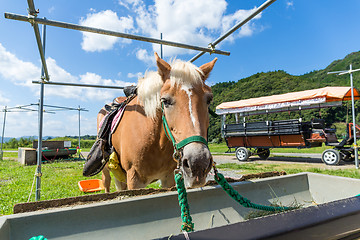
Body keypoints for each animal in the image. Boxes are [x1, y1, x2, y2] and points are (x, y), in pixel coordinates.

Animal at [97, 52, 217, 191]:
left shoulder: (168, 178)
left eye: (209, 99)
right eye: (165, 101)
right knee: (106, 182)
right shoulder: (134, 178)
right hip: (106, 170)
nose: (198, 163)